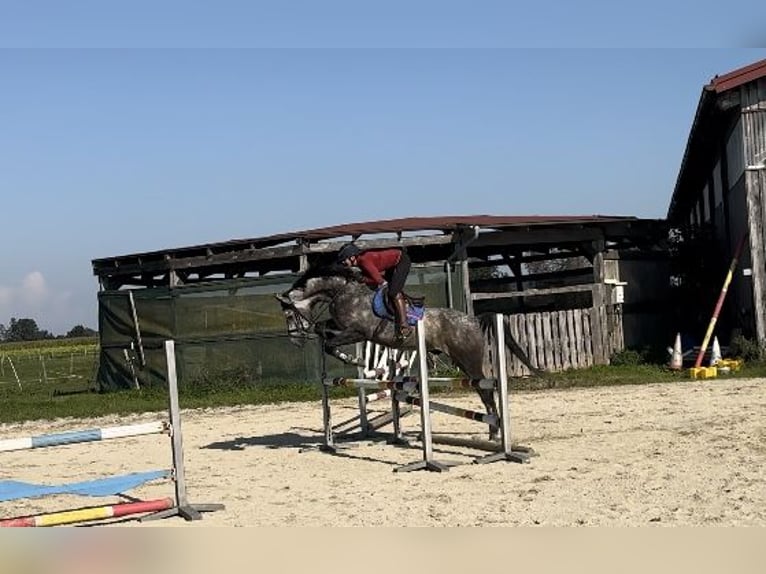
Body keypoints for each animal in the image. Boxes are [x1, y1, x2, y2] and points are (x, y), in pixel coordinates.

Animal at [278, 266, 540, 440]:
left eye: (289, 314)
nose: (296, 341)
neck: (344, 292)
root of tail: (473, 320)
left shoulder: (358, 332)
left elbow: (329, 344)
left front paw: (353, 359)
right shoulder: (342, 327)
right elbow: (324, 331)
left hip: (470, 363)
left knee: (486, 392)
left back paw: (495, 434)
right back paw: (492, 433)